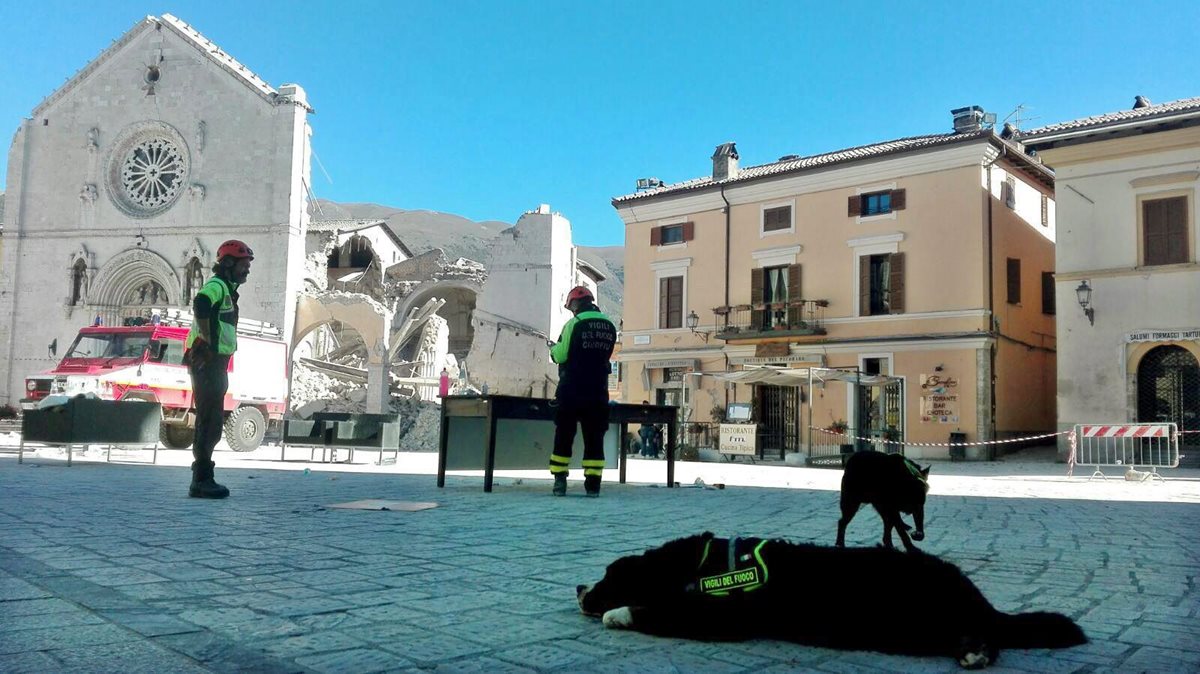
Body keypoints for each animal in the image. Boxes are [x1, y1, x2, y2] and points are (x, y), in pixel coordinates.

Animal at [573, 530, 1089, 666]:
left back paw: (976, 651)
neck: (704, 563)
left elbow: (657, 610)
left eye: (608, 575)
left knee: (989, 639)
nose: (578, 587)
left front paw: (618, 613)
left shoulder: (718, 619)